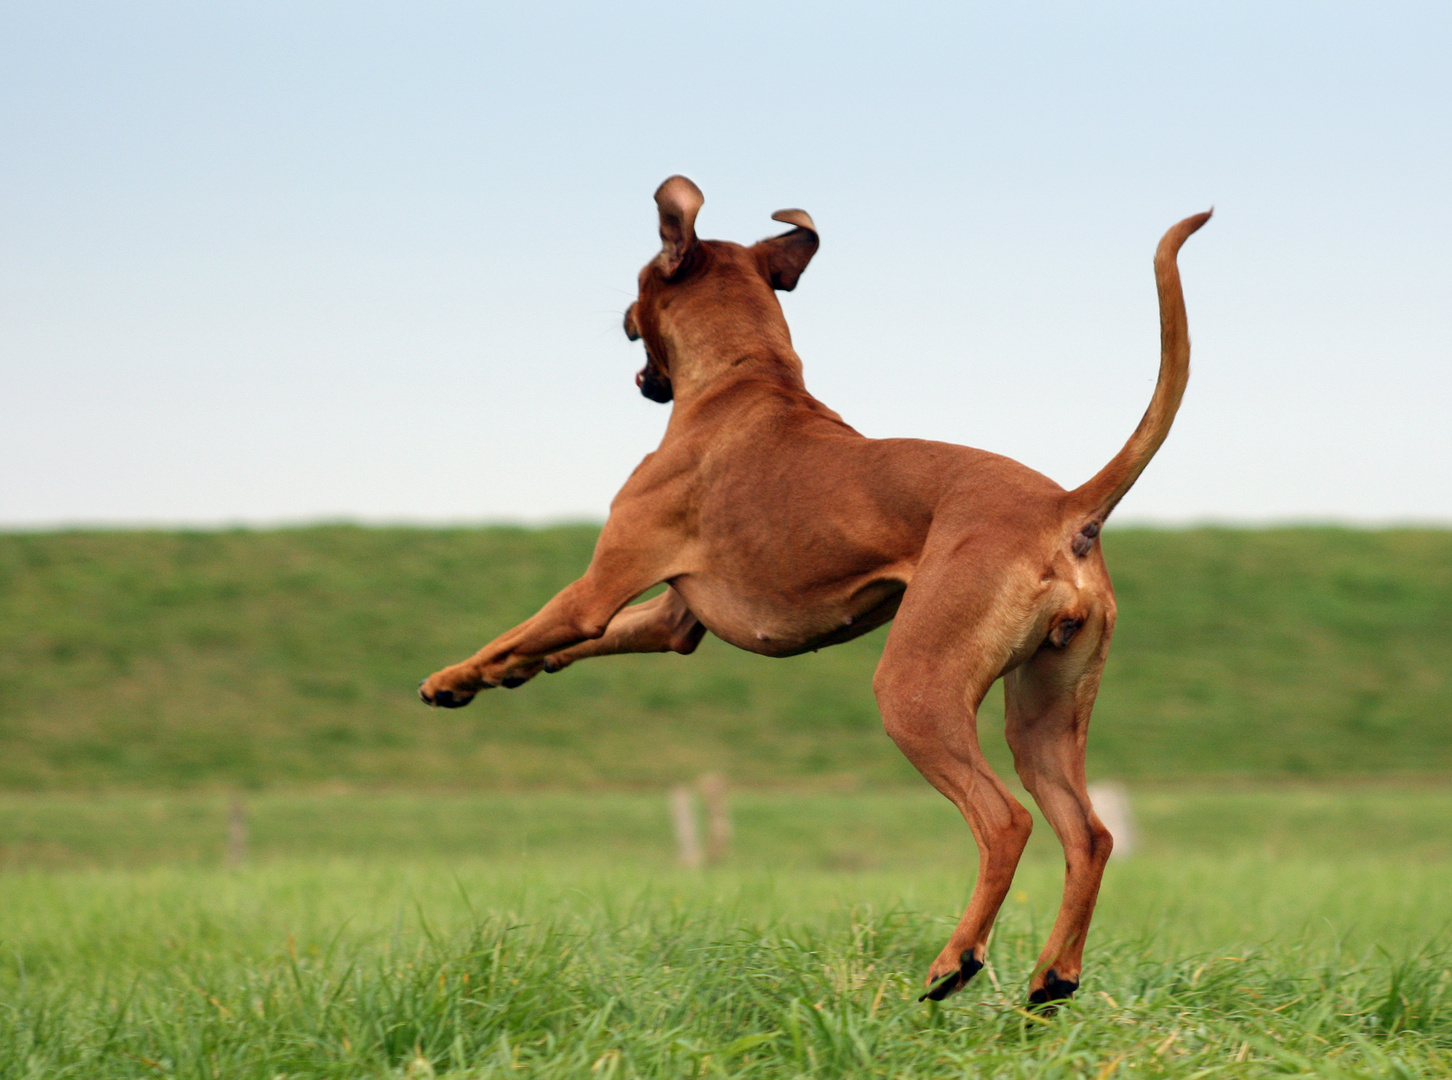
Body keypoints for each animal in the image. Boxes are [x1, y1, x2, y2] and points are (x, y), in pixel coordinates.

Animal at [423, 172, 1213, 1010]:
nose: (625, 323)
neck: (743, 377)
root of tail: (1065, 507)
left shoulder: (597, 587)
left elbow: (523, 628)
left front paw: (448, 678)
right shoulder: (673, 618)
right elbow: (562, 645)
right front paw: (502, 677)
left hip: (916, 692)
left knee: (1005, 822)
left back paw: (955, 962)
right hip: (1043, 718)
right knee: (1088, 834)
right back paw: (1053, 977)